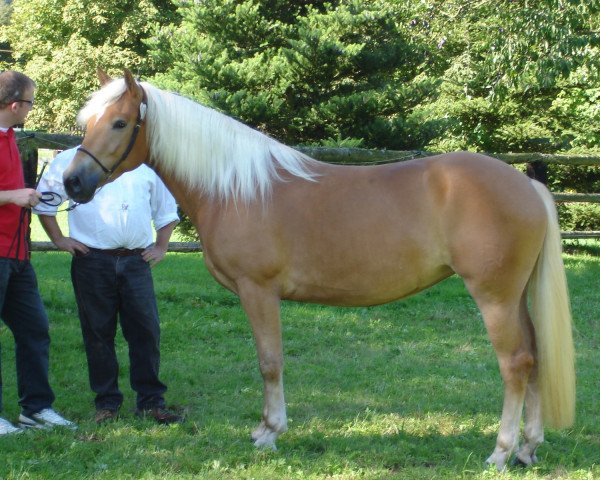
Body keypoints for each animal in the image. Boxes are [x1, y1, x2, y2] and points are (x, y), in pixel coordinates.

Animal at [63, 69, 576, 470]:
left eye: (120, 122)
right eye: (86, 123)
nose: (72, 183)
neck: (237, 188)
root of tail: (526, 185)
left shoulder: (258, 291)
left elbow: (270, 362)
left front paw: (269, 432)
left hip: (495, 297)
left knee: (515, 363)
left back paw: (501, 451)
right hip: (517, 296)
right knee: (535, 357)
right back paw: (528, 448)